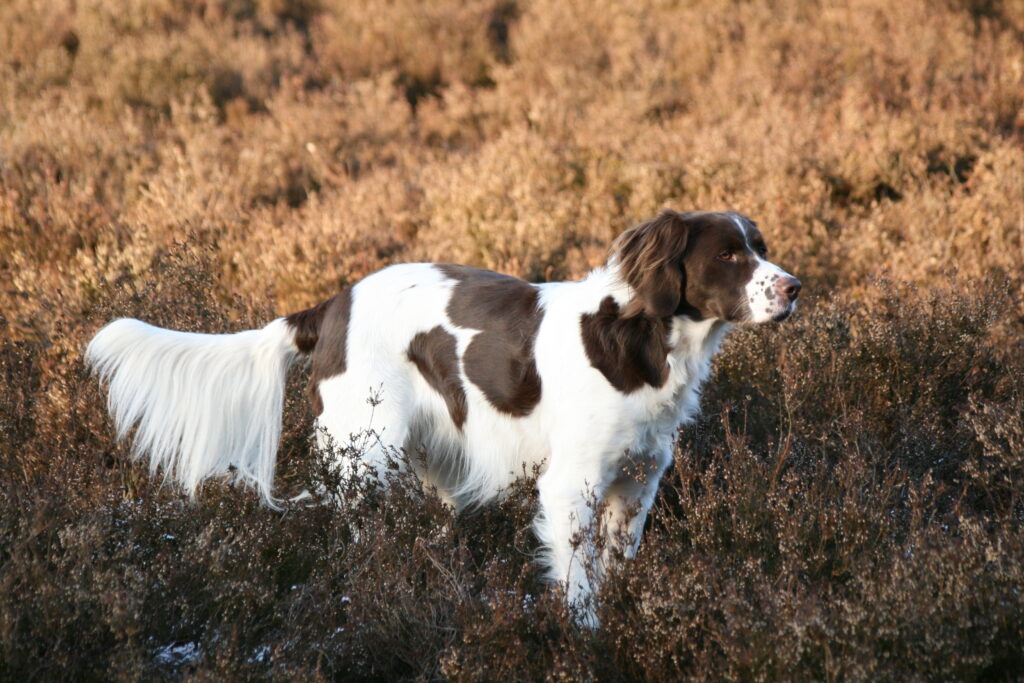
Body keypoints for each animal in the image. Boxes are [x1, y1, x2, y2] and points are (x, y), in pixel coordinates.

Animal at [88, 208, 798, 626]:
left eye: (761, 247)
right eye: (729, 255)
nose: (796, 288)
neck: (637, 339)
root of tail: (330, 307)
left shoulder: (638, 480)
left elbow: (618, 564)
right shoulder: (572, 484)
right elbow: (579, 584)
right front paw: (586, 640)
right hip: (366, 453)